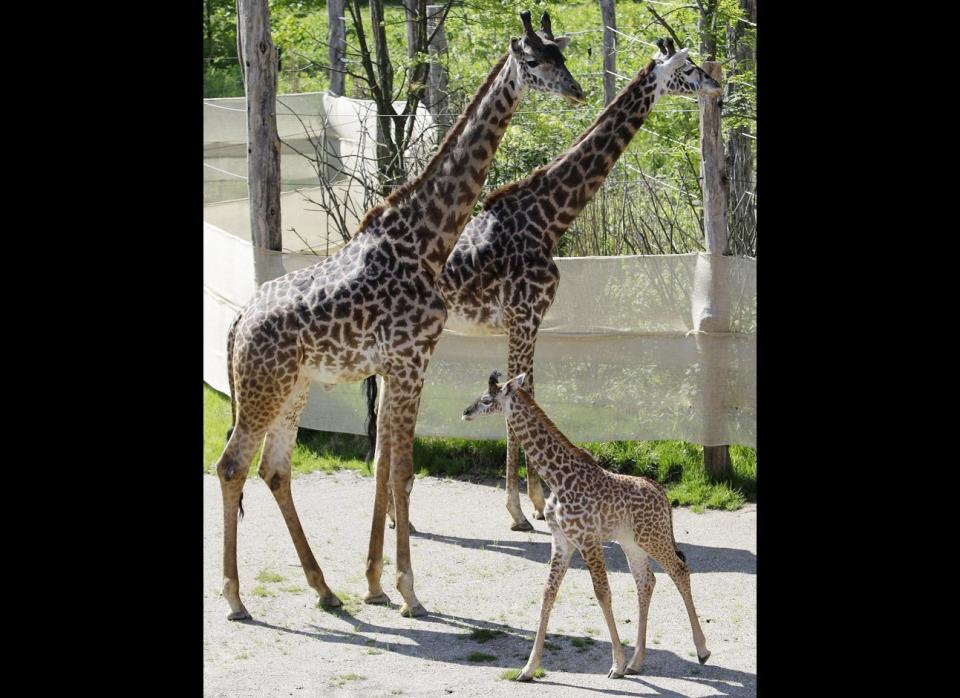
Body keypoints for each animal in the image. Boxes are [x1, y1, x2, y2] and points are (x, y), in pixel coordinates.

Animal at [213, 9, 580, 620]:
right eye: (534, 59)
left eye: (562, 55)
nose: (575, 90)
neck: (427, 238)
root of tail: (237, 324)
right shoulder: (411, 361)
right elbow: (403, 473)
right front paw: (409, 591)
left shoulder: (398, 365)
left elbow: (391, 469)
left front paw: (379, 584)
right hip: (263, 388)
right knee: (232, 466)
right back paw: (236, 597)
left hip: (293, 387)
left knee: (274, 468)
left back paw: (324, 589)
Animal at [462, 372, 708, 676]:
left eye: (486, 399)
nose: (466, 412)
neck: (556, 478)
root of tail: (662, 493)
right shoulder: (562, 541)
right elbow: (548, 593)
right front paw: (529, 668)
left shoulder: (588, 539)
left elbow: (602, 593)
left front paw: (616, 664)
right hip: (632, 543)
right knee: (646, 581)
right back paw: (637, 661)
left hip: (654, 537)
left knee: (680, 570)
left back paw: (701, 651)